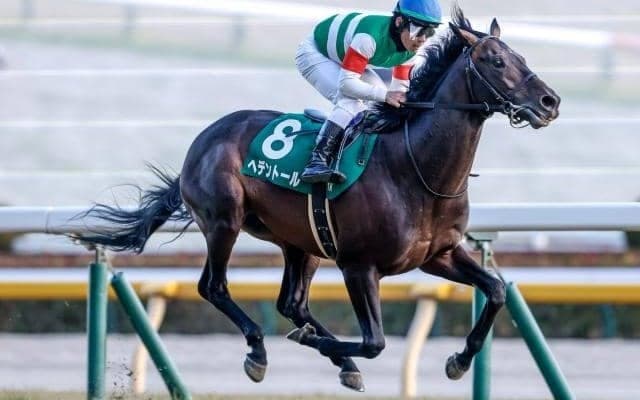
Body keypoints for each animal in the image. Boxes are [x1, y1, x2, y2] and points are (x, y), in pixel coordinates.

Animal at [77, 7, 560, 392]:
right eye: (496, 61)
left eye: (522, 57)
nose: (549, 101)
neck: (415, 168)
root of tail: (202, 140)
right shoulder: (359, 266)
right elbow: (375, 341)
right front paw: (315, 342)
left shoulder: (437, 255)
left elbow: (495, 291)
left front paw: (459, 360)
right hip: (223, 221)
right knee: (213, 286)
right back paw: (260, 351)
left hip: (301, 242)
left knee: (292, 303)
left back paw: (339, 362)